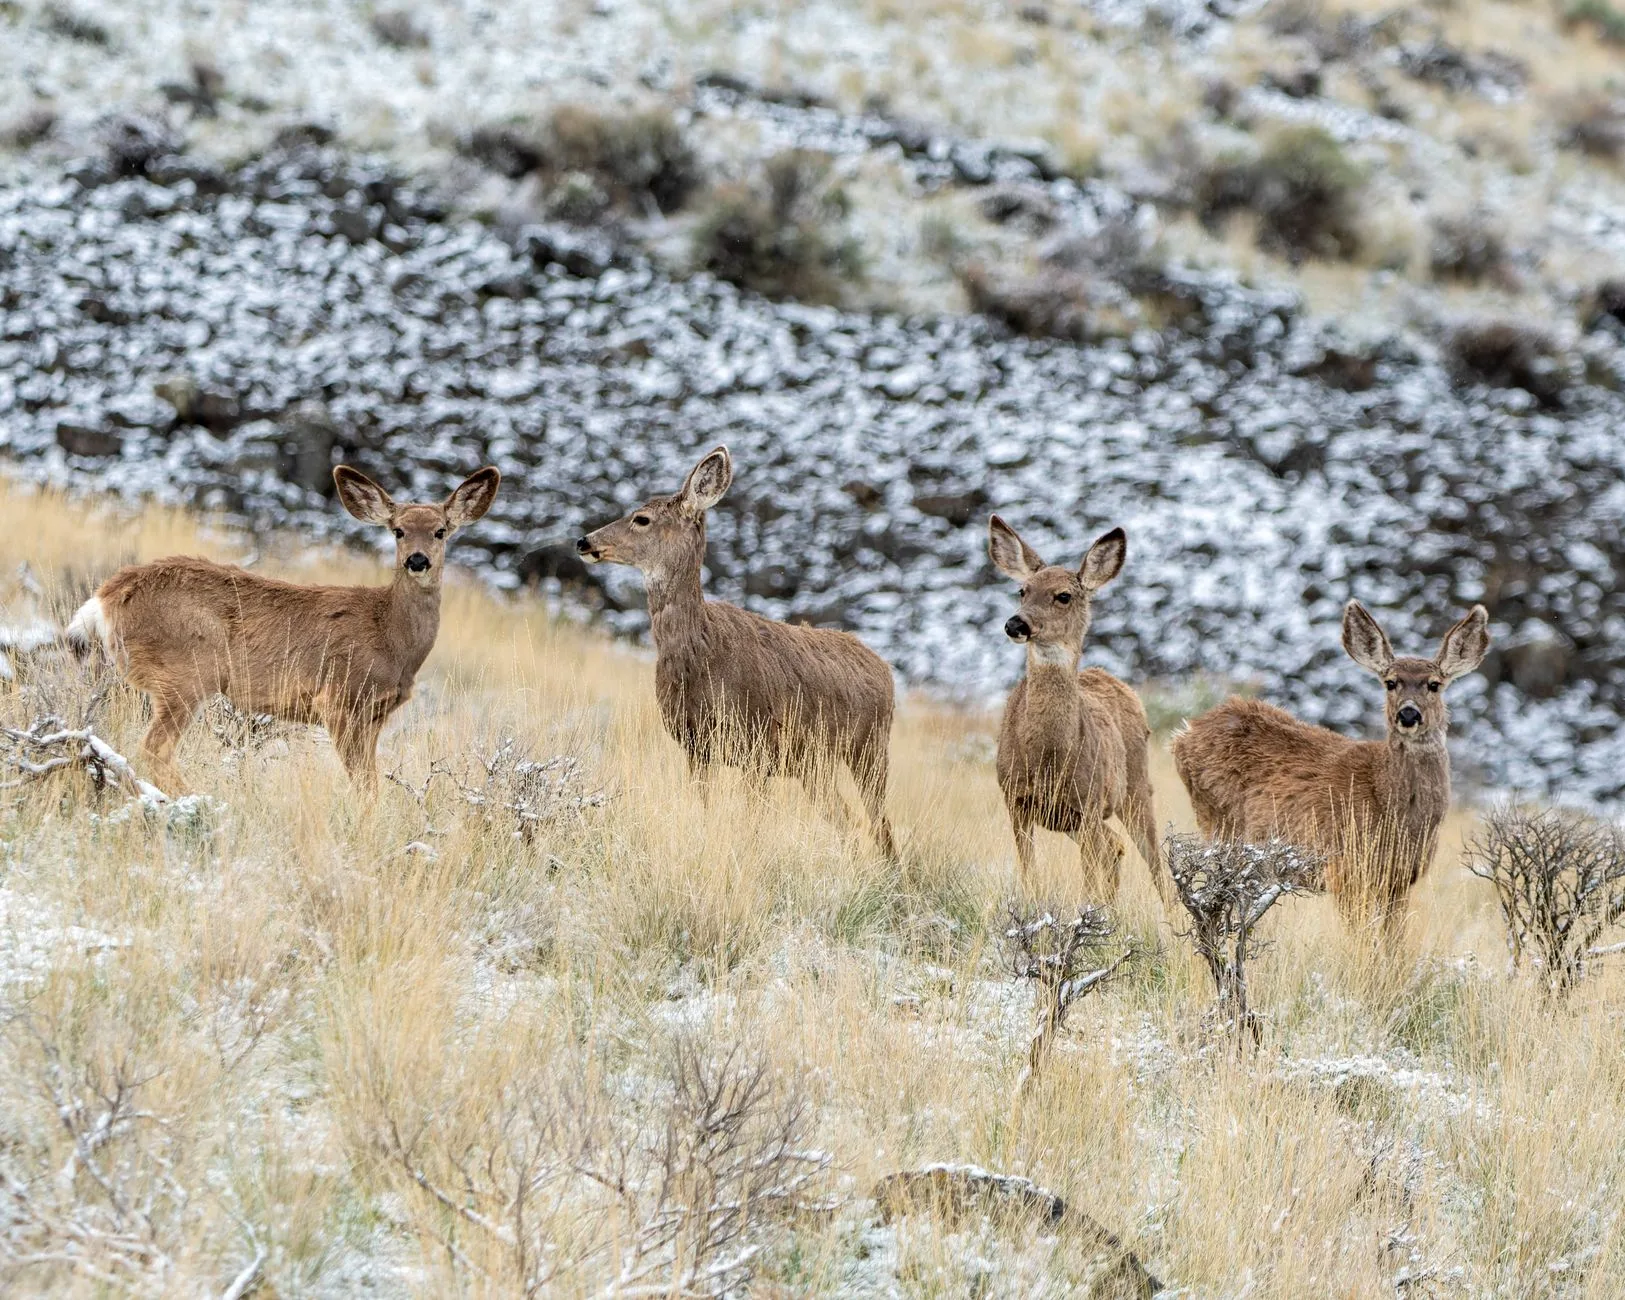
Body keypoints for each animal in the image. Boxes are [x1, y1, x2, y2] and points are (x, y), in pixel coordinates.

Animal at [65, 465, 501, 794]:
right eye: (398, 530)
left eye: (441, 530)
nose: (417, 560)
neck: (391, 637)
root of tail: (103, 599)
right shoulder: (339, 698)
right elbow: (364, 786)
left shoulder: (375, 714)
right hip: (185, 671)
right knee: (154, 747)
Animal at [576, 446, 896, 856]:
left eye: (641, 519)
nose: (584, 541)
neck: (701, 654)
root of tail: (885, 668)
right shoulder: (696, 746)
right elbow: (705, 807)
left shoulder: (756, 745)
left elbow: (752, 824)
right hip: (815, 765)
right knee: (850, 823)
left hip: (870, 746)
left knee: (881, 826)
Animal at [988, 514, 1174, 907]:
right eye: (1022, 590)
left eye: (1064, 595)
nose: (1016, 623)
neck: (1047, 759)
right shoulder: (1015, 799)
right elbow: (1030, 875)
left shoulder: (1086, 801)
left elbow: (1087, 879)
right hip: (1075, 819)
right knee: (1114, 846)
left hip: (1135, 784)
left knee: (1151, 860)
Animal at [1171, 600, 1490, 930]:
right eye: (1390, 683)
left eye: (1434, 685)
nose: (1409, 714)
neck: (1390, 807)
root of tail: (1184, 732)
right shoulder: (1344, 869)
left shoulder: (1400, 879)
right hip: (1219, 825)